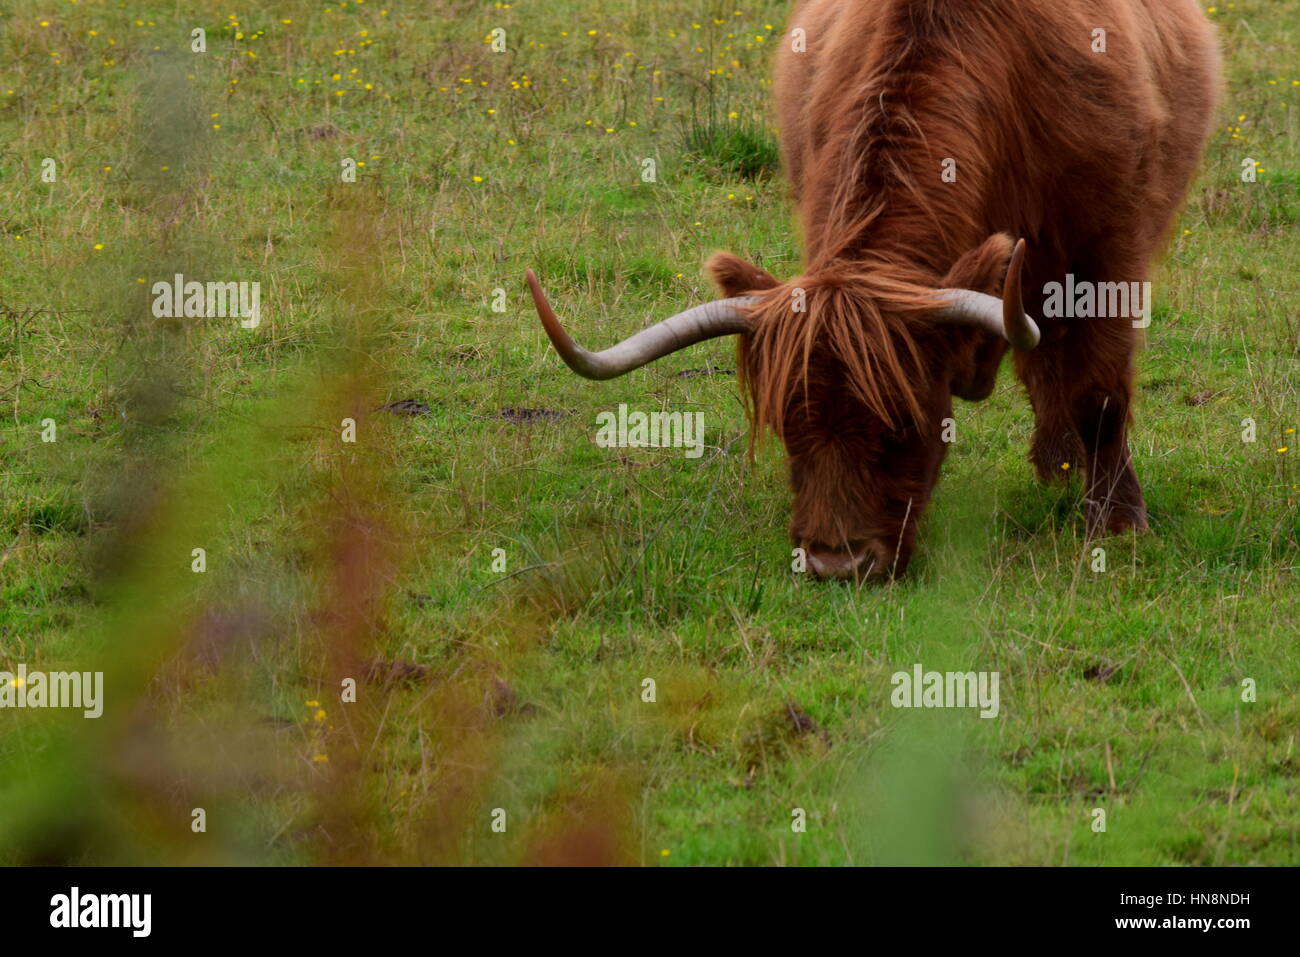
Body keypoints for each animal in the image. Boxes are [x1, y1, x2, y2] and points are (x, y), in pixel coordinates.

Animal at [525, 0, 1216, 579]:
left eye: (905, 423)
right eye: (786, 425)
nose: (836, 563)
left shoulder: (1111, 246)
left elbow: (1100, 390)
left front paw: (1119, 521)